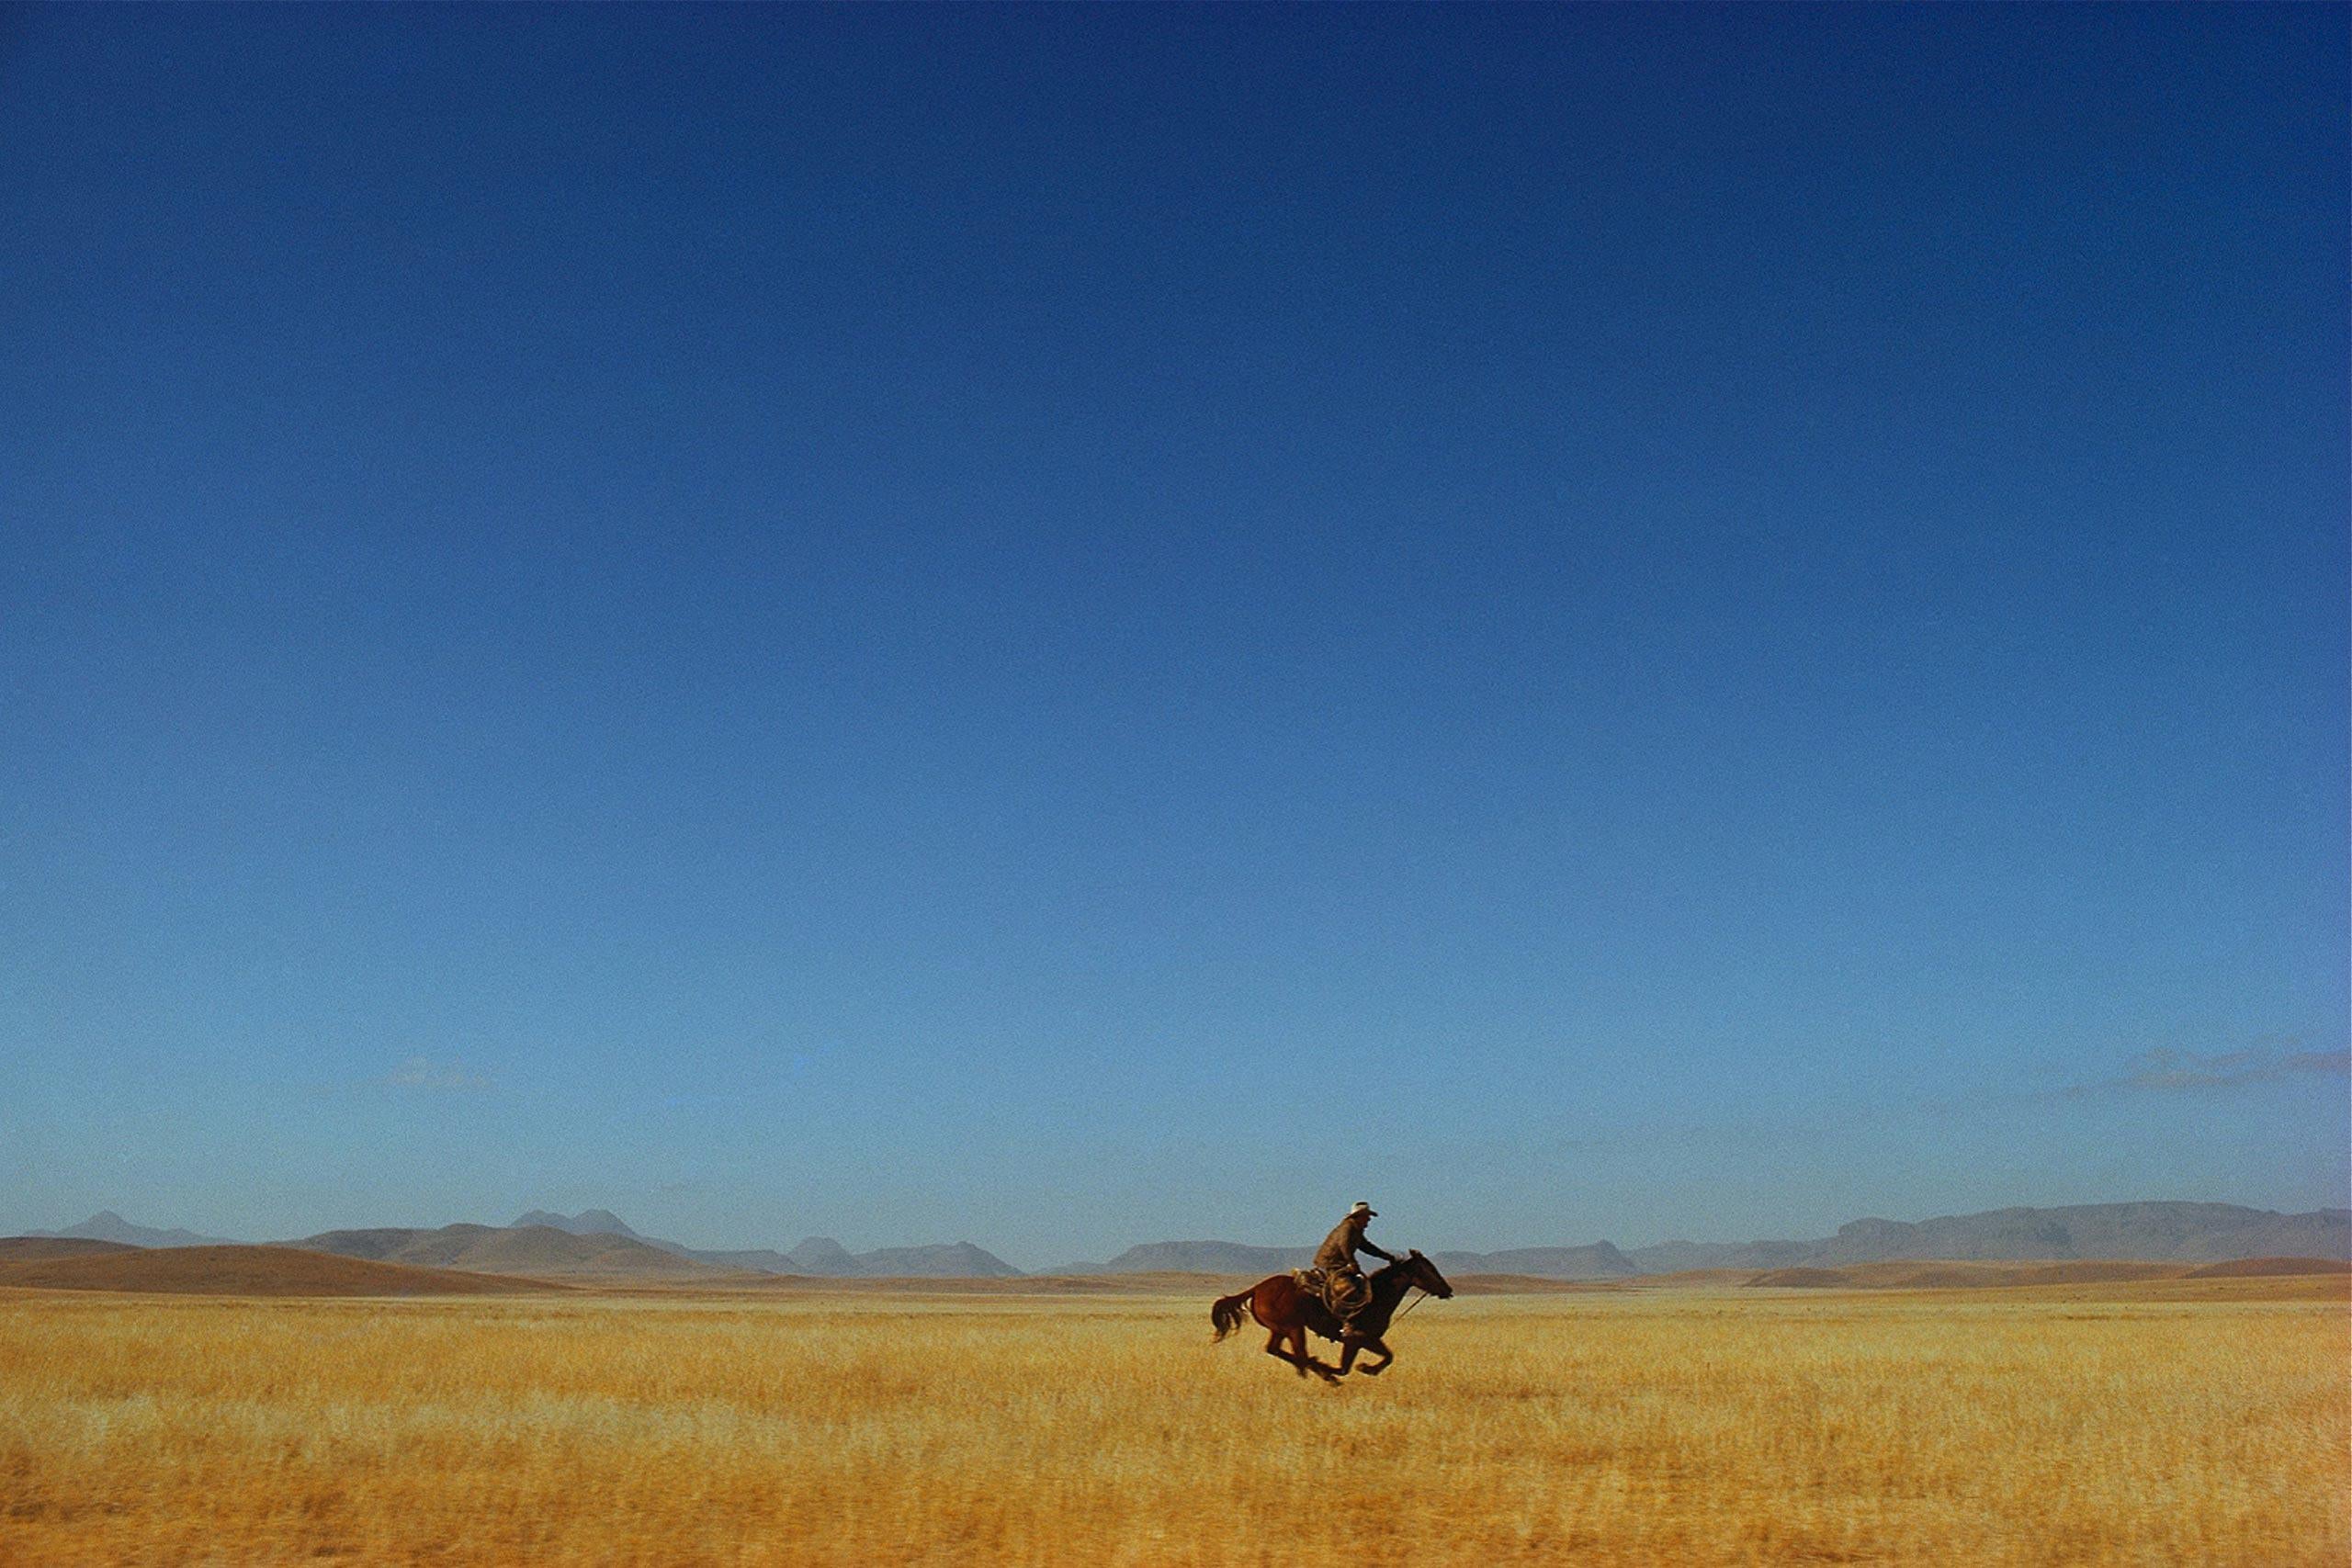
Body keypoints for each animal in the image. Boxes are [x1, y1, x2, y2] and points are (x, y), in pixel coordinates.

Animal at [1213, 1241, 1448, 1382]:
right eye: (1429, 1269)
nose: (1448, 1290)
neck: (1378, 1296)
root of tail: (1257, 1288)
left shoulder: (1364, 1341)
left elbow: (1383, 1357)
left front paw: (1364, 1368)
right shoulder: (1359, 1339)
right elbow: (1352, 1366)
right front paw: (1363, 1368)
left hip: (1280, 1329)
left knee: (1276, 1350)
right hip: (1294, 1328)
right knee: (1300, 1355)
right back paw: (1319, 1370)